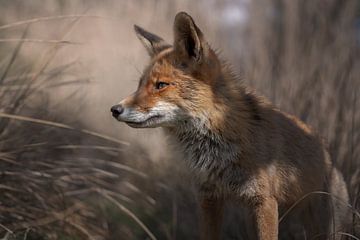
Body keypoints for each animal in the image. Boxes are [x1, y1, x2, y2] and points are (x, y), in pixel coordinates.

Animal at [112, 12, 348, 240]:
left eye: (161, 85)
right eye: (139, 85)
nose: (115, 109)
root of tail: (329, 153)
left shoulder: (264, 201)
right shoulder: (209, 198)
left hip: (323, 226)